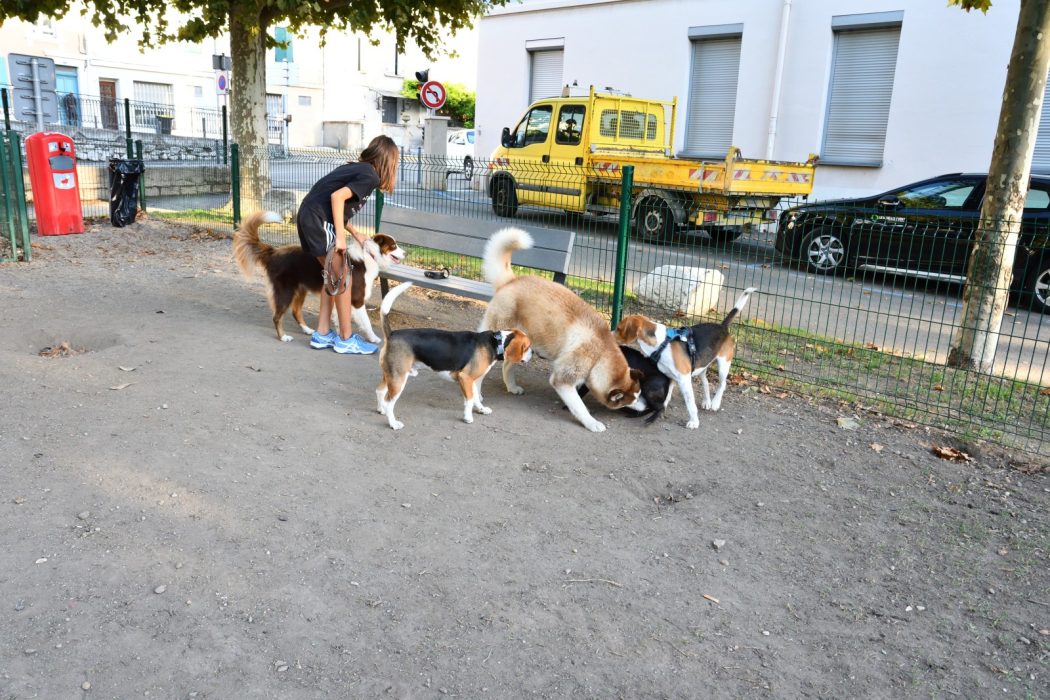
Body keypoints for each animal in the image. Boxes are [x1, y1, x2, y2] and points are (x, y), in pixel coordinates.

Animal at [234, 210, 405, 344]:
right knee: (277, 317)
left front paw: (340, 337)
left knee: (296, 311)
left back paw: (307, 330)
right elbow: (366, 322)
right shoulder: (357, 299)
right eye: (394, 246)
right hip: (285, 292)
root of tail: (274, 252)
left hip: (300, 290)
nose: (405, 253)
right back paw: (283, 337)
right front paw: (373, 338)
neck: (369, 255)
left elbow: (339, 318)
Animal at [375, 281, 533, 430]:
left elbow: (476, 397)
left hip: (390, 375)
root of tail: (392, 334)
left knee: (379, 391)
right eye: (527, 347)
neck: (496, 342)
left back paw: (381, 410)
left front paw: (481, 409)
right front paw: (468, 417)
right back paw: (393, 423)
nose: (533, 353)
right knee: (389, 402)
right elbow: (470, 400)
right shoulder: (465, 378)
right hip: (399, 379)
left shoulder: (473, 381)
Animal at [480, 228, 642, 432]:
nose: (645, 406)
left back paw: (512, 387)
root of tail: (512, 280)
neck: (600, 353)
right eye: (631, 401)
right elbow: (579, 406)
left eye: (639, 394)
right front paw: (592, 422)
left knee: (507, 365)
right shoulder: (563, 380)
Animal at [613, 287, 755, 430]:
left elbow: (690, 403)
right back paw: (707, 402)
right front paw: (662, 408)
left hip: (723, 364)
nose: (609, 335)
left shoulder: (684, 379)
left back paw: (715, 403)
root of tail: (723, 326)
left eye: (619, 328)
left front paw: (694, 422)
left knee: (722, 384)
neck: (662, 343)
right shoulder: (670, 376)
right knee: (706, 383)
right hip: (701, 367)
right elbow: (667, 395)